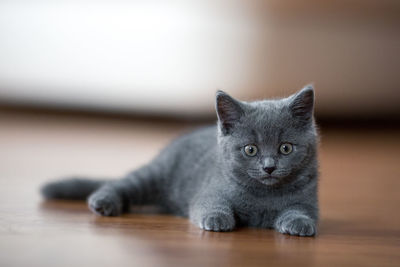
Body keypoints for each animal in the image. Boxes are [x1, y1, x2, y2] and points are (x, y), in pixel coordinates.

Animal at [41, 86, 318, 237]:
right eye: (250, 150)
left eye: (285, 148)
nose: (269, 167)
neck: (263, 196)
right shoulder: (210, 191)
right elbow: (210, 204)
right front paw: (217, 219)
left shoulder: (309, 201)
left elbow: (301, 211)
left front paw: (299, 223)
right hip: (156, 174)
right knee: (120, 183)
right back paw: (103, 203)